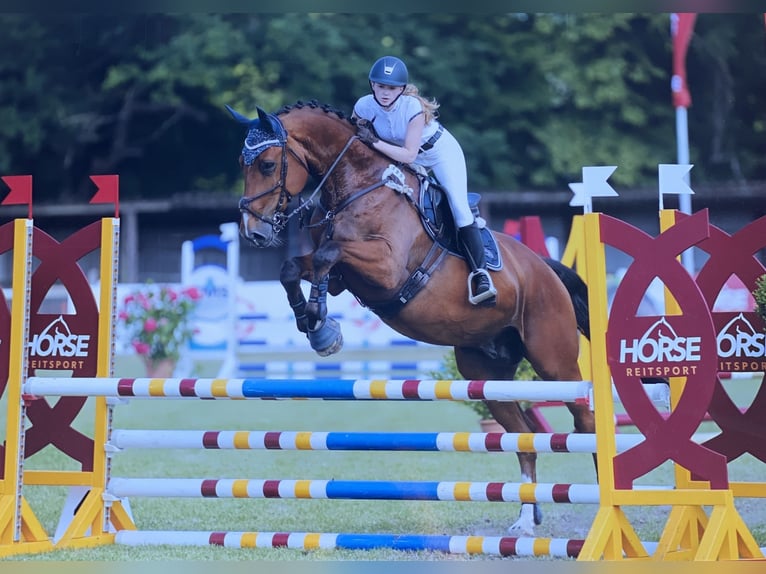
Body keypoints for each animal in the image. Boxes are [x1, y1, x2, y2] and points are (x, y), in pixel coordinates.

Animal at [228, 99, 600, 536]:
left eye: (268, 164)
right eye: (242, 163)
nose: (252, 232)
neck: (357, 185)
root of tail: (544, 269)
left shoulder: (385, 269)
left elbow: (326, 255)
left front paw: (321, 325)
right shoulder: (341, 275)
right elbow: (296, 267)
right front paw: (315, 323)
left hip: (553, 360)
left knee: (585, 419)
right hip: (487, 375)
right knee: (523, 438)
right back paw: (526, 520)